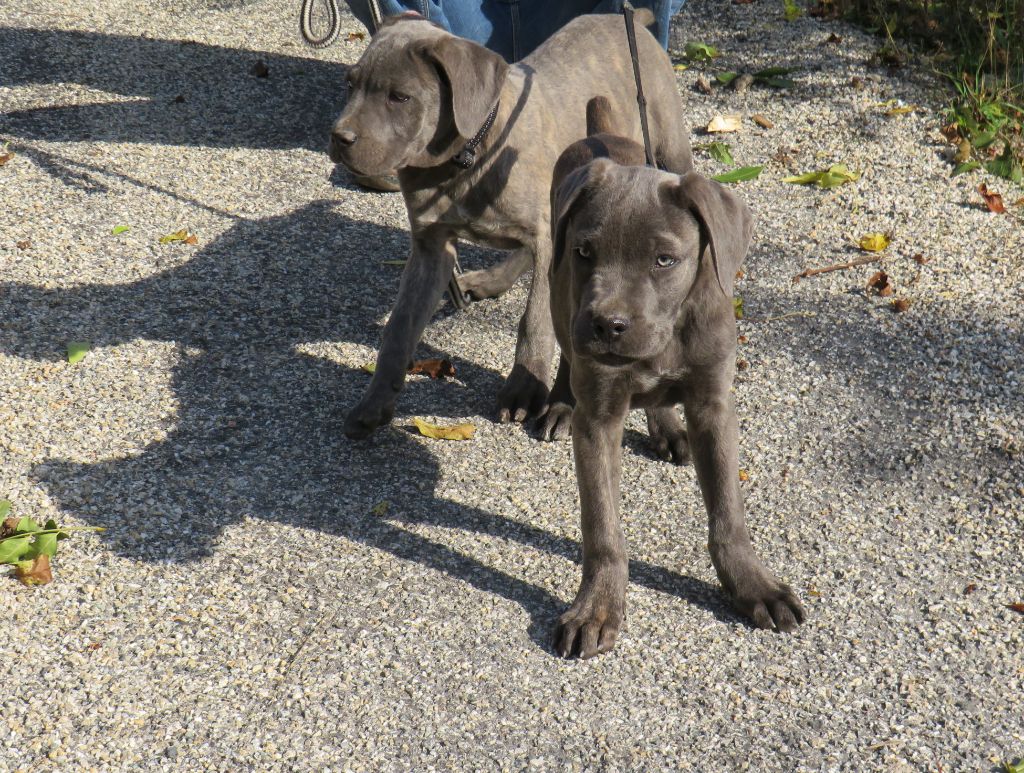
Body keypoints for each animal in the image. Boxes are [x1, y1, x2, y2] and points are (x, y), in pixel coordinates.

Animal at [331, 10, 692, 442]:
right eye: (349, 84)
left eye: (399, 97)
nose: (338, 137)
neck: (465, 158)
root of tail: (626, 16)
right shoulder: (430, 249)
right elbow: (399, 330)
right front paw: (374, 403)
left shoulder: (547, 238)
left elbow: (534, 319)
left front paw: (525, 387)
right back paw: (491, 279)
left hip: (669, 146)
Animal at [548, 101, 802, 659]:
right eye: (585, 252)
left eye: (665, 260)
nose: (607, 326)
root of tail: (599, 133)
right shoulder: (597, 420)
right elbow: (603, 527)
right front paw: (598, 607)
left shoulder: (713, 405)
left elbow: (728, 512)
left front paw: (753, 585)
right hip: (557, 293)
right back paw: (557, 402)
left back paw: (665, 427)